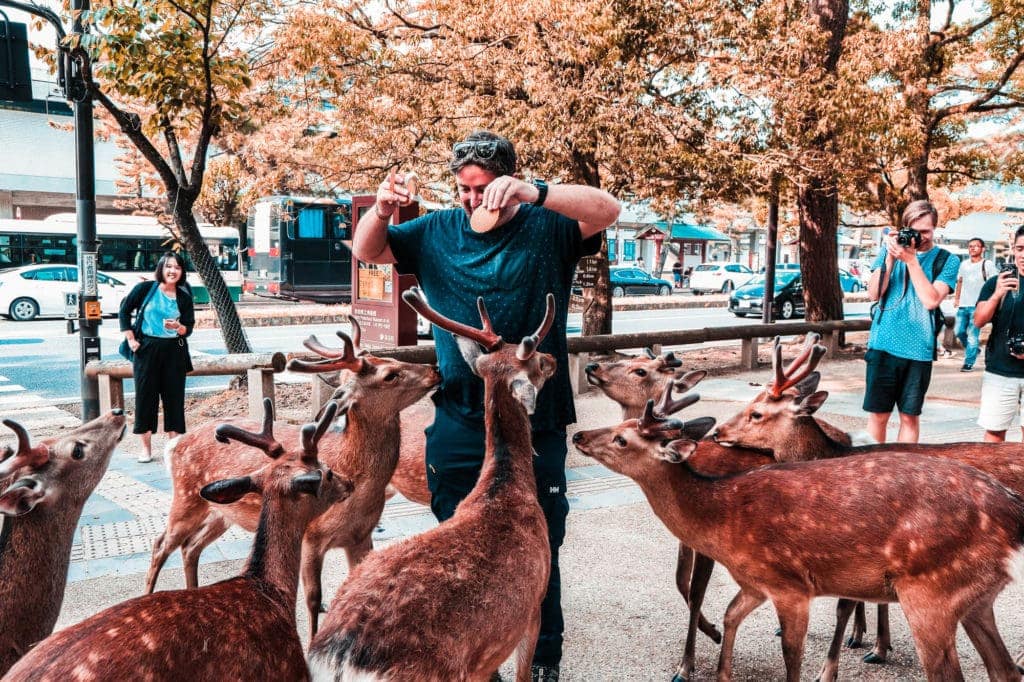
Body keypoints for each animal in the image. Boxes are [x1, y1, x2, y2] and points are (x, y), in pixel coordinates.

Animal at [144, 319, 441, 639]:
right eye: (390, 375)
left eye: (389, 359)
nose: (435, 370)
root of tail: (174, 445)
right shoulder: (312, 536)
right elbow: (313, 599)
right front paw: (311, 641)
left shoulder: (361, 536)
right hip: (185, 498)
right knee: (161, 544)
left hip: (221, 512)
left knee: (191, 546)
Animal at [306, 287, 555, 682]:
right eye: (537, 364)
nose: (553, 359)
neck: (505, 488)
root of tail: (341, 657)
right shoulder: (533, 608)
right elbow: (523, 673)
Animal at [572, 395, 1024, 682]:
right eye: (621, 425)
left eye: (622, 439)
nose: (577, 436)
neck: (722, 521)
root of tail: (1012, 515)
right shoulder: (755, 582)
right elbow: (730, 615)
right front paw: (721, 673)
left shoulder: (790, 584)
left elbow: (792, 658)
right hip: (975, 599)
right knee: (1003, 670)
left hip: (931, 593)